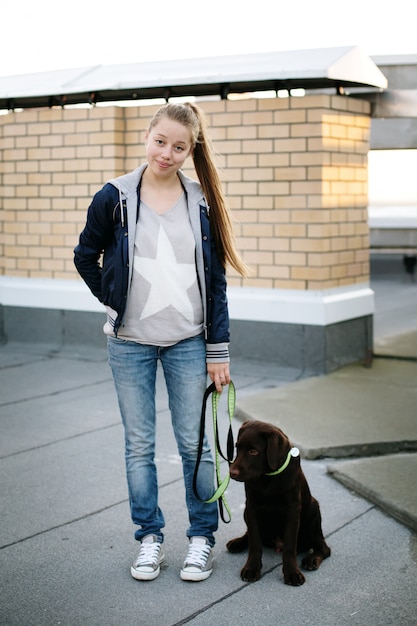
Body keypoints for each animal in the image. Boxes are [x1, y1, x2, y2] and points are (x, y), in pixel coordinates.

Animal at [226, 416, 330, 584]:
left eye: (253, 451)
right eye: (237, 448)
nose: (232, 473)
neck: (268, 477)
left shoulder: (293, 510)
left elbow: (290, 546)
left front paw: (292, 572)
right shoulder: (251, 507)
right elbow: (255, 542)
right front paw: (252, 568)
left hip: (313, 514)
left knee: (324, 548)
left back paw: (312, 559)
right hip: (246, 513)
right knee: (251, 535)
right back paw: (238, 542)